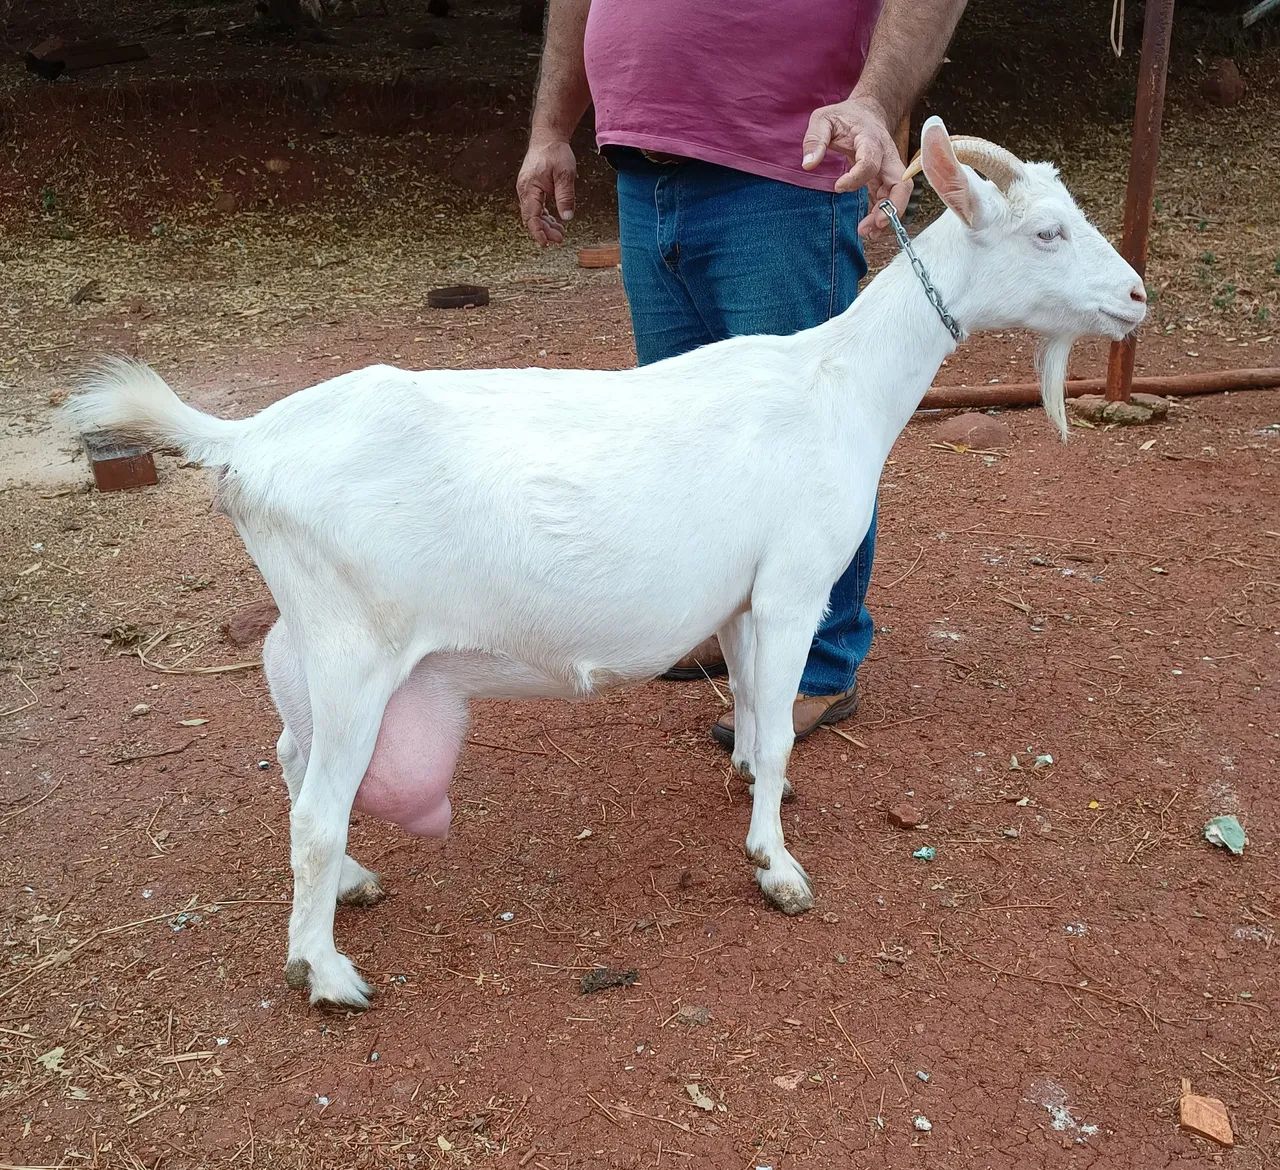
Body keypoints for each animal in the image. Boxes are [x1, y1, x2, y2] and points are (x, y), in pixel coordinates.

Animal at [64, 119, 1147, 1010]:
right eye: (1047, 233)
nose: (1136, 295)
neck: (836, 383)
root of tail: (248, 441)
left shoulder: (741, 599)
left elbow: (751, 707)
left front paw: (750, 792)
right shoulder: (792, 587)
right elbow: (781, 731)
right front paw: (778, 869)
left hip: (307, 640)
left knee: (293, 759)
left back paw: (355, 887)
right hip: (352, 649)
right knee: (316, 812)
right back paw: (325, 972)